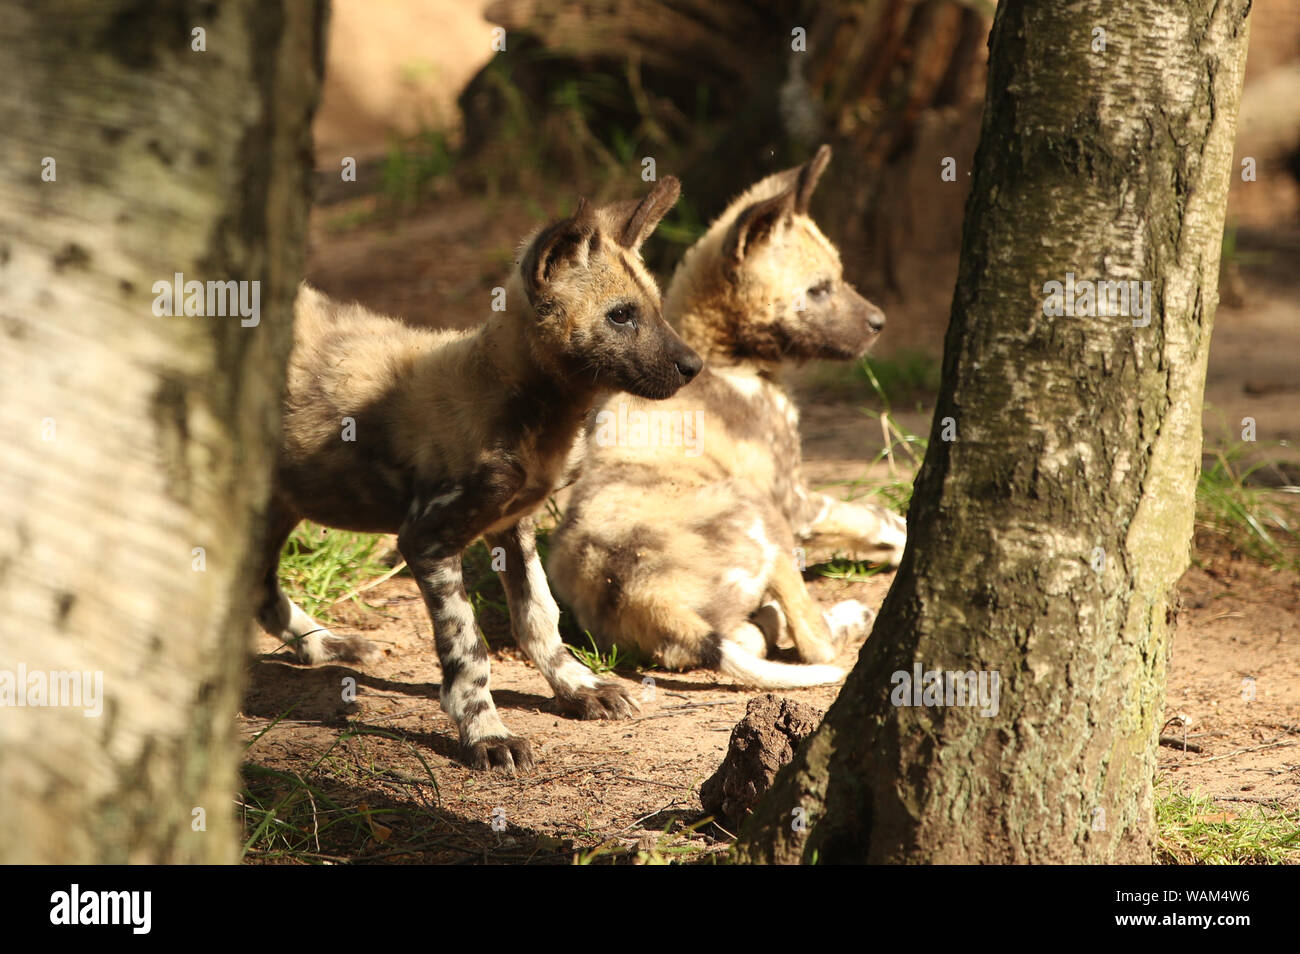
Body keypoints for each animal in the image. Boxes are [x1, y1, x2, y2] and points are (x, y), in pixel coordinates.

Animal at [256, 179, 702, 774]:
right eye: (621, 315)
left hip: (279, 501)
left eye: (655, 310)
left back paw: (326, 646)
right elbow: (469, 649)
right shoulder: (427, 540)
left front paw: (577, 687)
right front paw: (485, 732)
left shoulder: (513, 526)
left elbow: (539, 617)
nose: (693, 365)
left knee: (259, 589)